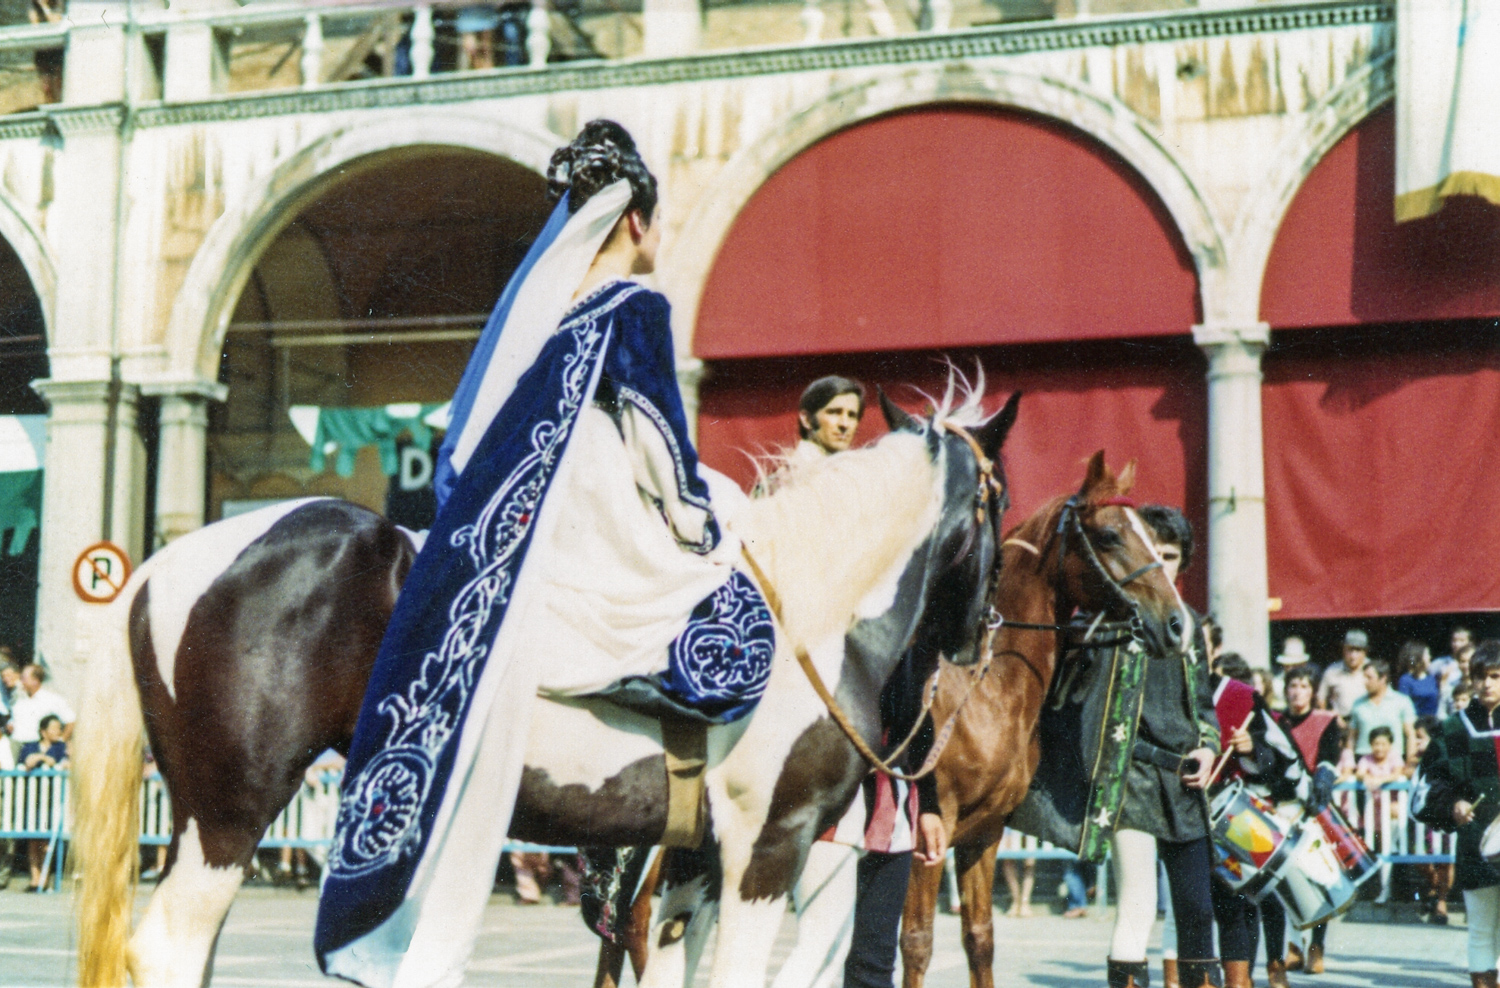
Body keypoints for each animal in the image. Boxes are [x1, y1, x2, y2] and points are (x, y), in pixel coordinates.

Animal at [72, 383, 1024, 988]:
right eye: (1001, 501)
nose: (982, 632)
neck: (807, 614)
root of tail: (162, 564)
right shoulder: (768, 848)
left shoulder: (691, 865)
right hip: (228, 818)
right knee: (167, 952)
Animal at [898, 452, 1191, 988]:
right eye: (1110, 535)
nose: (1176, 624)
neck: (983, 687)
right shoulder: (928, 833)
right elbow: (917, 942)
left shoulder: (985, 832)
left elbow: (979, 939)